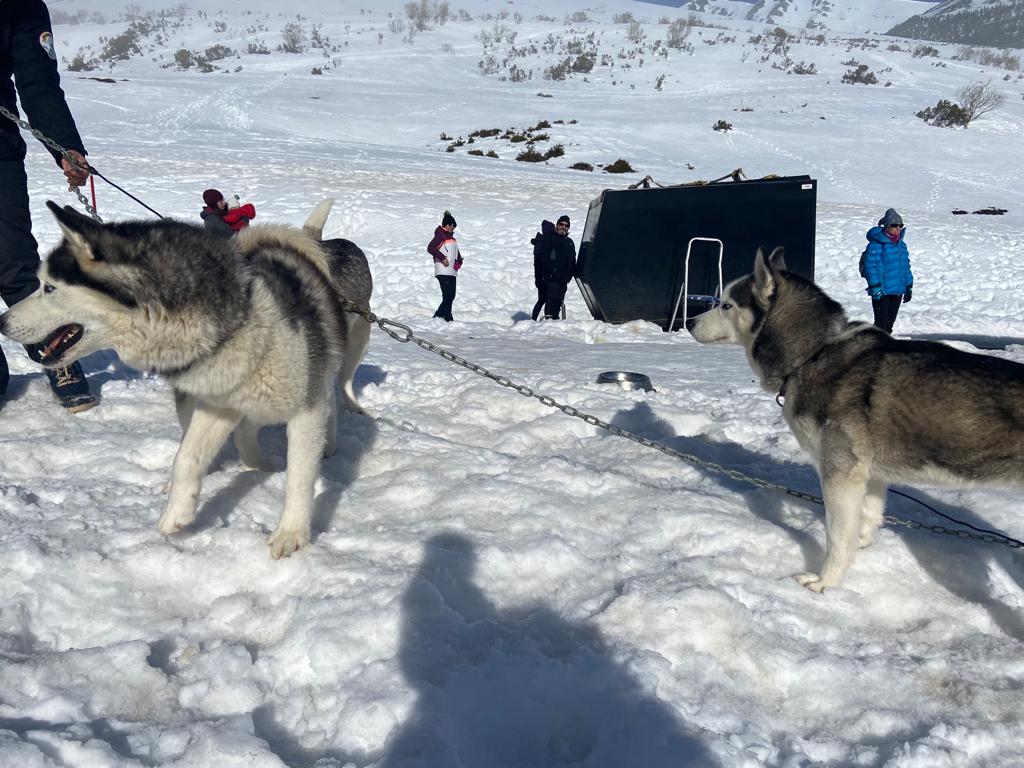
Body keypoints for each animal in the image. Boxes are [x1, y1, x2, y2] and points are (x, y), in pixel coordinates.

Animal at [0, 198, 374, 561]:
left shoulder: (306, 410)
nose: (2, 322)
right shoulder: (218, 406)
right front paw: (178, 512)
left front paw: (292, 533)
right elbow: (187, 457)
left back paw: (329, 442)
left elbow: (298, 476)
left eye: (49, 287)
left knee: (335, 394)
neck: (239, 322)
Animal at [688, 249, 1024, 593]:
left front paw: (825, 581)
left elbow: (838, 538)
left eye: (727, 305)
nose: (689, 321)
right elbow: (866, 520)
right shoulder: (869, 475)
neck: (813, 353)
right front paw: (861, 546)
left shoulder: (840, 474)